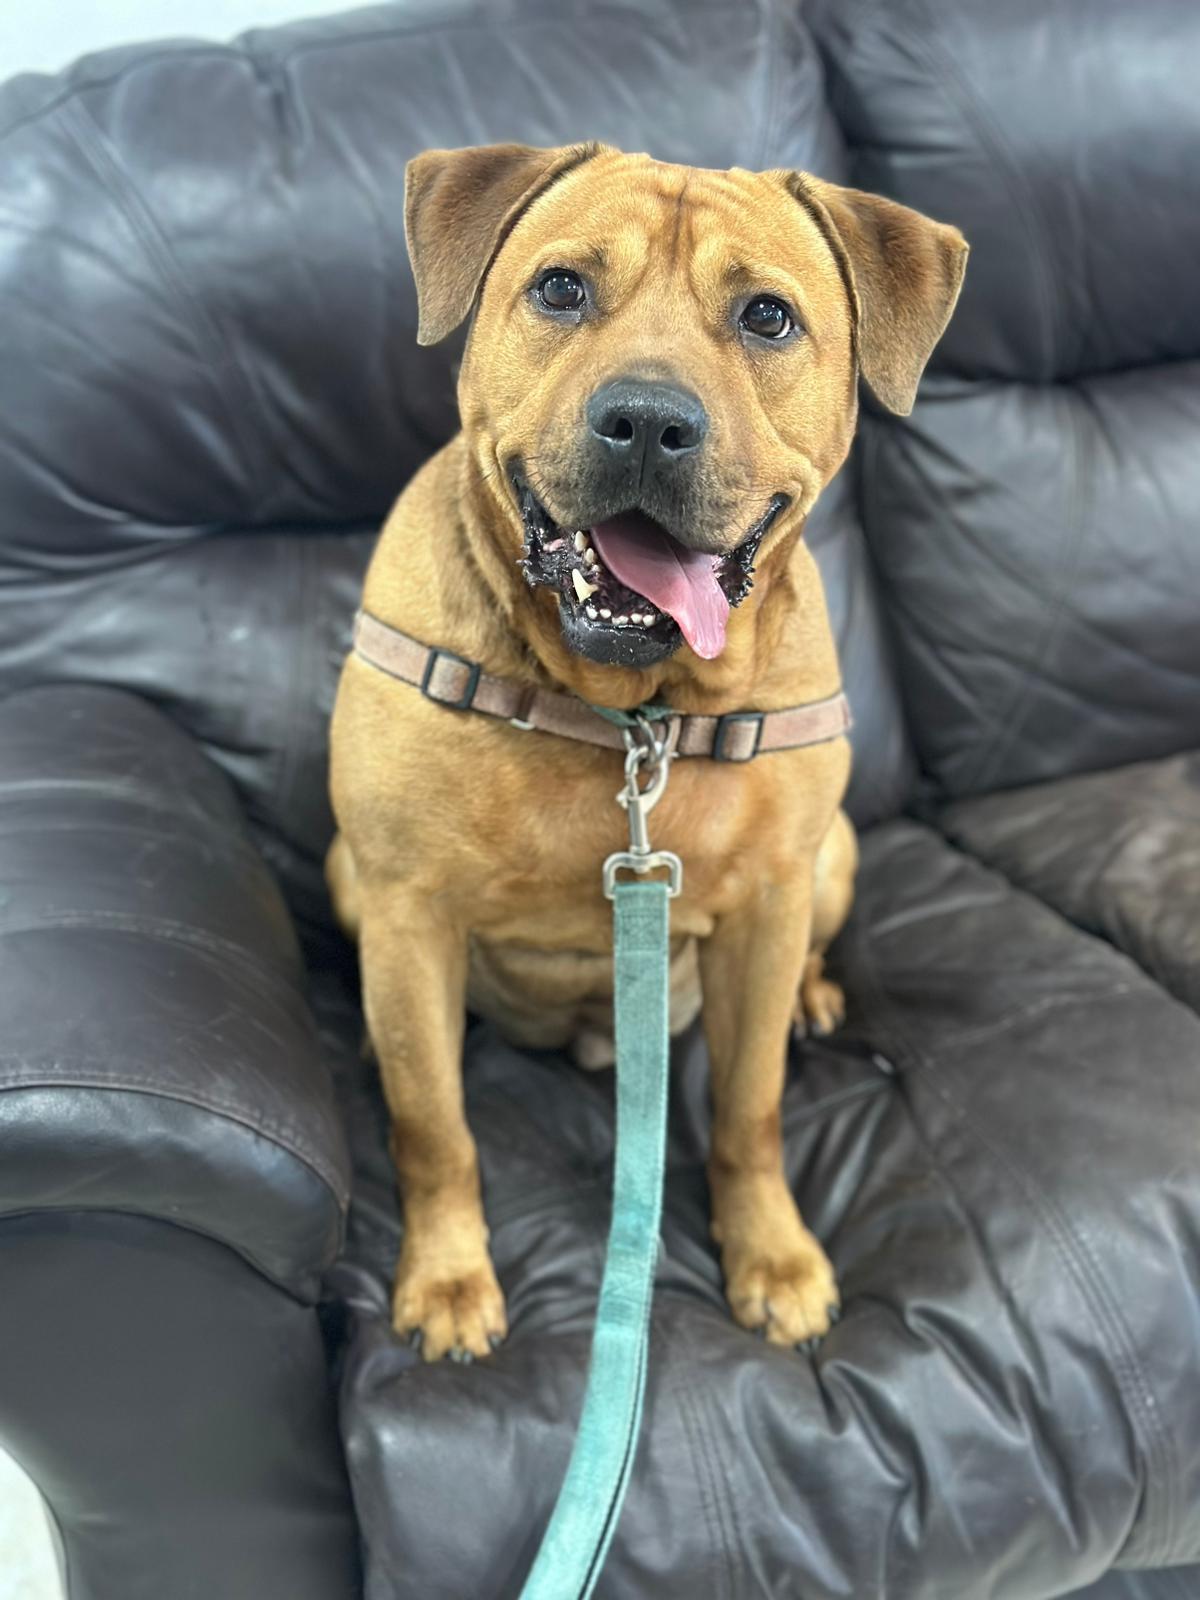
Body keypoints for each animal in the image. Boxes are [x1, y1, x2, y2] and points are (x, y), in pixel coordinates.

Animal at [329, 140, 966, 1363]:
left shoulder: (768, 902)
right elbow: (434, 1125)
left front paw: (773, 1256)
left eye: (767, 316)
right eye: (562, 289)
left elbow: (753, 1110)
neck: (628, 709)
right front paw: (447, 1277)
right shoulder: (404, 905)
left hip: (834, 858)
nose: (647, 422)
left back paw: (816, 996)